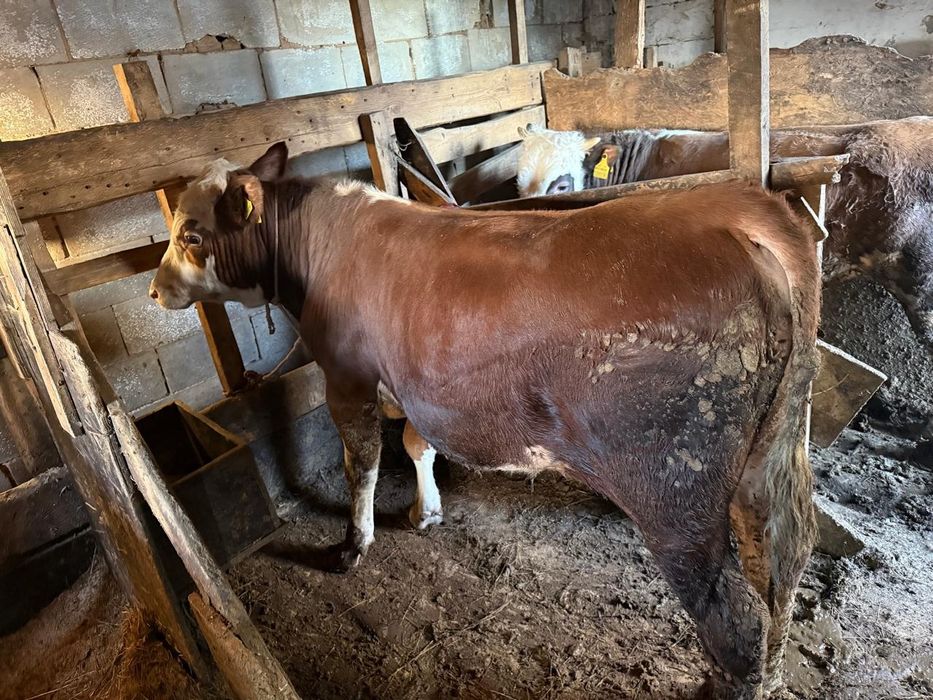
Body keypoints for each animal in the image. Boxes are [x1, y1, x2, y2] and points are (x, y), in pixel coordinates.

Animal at [150, 142, 820, 698]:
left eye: (190, 234)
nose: (155, 291)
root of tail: (734, 215)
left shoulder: (346, 376)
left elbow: (360, 463)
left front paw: (353, 544)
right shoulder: (420, 384)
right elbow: (416, 443)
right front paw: (426, 511)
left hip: (674, 488)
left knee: (734, 615)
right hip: (773, 452)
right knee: (784, 558)